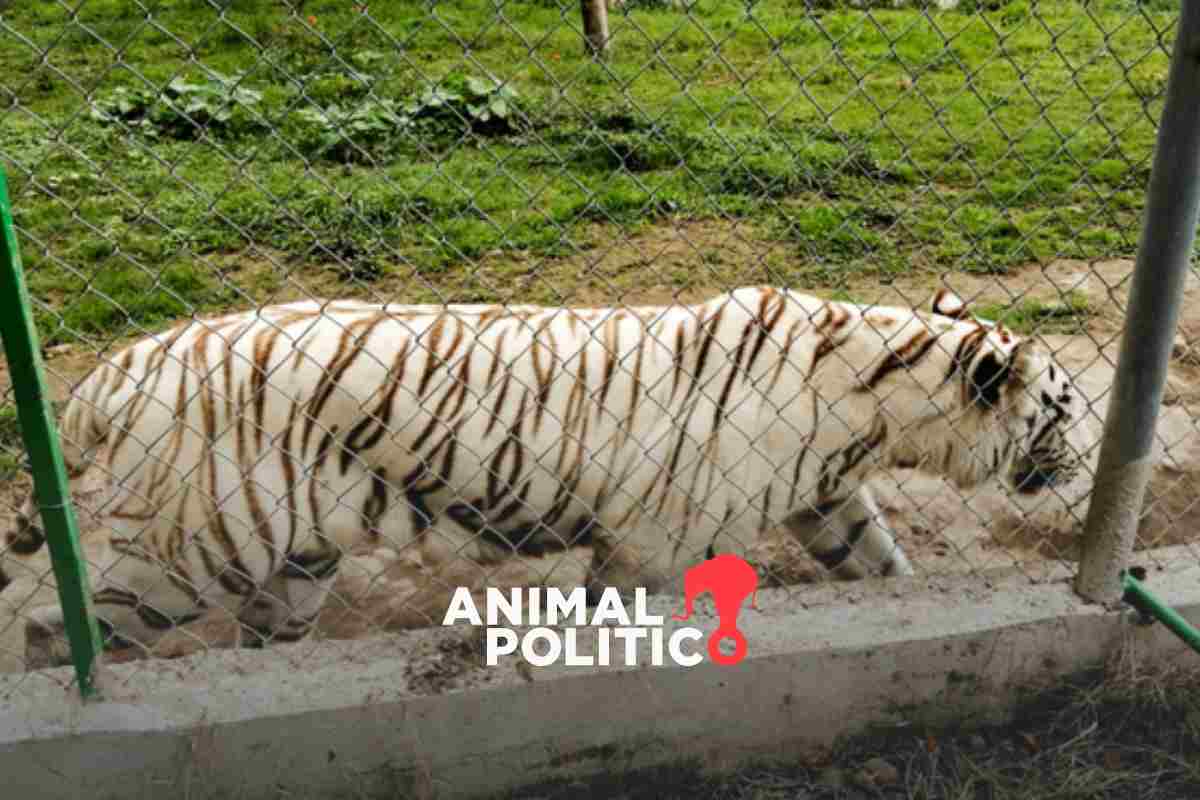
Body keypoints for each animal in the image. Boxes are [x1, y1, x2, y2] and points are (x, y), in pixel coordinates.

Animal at [1, 286, 1083, 657]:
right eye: (1066, 407)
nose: (1078, 463)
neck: (875, 402)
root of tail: (125, 363)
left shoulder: (829, 496)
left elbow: (883, 561)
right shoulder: (653, 540)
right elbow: (615, 615)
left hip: (291, 561)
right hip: (188, 551)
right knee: (56, 628)